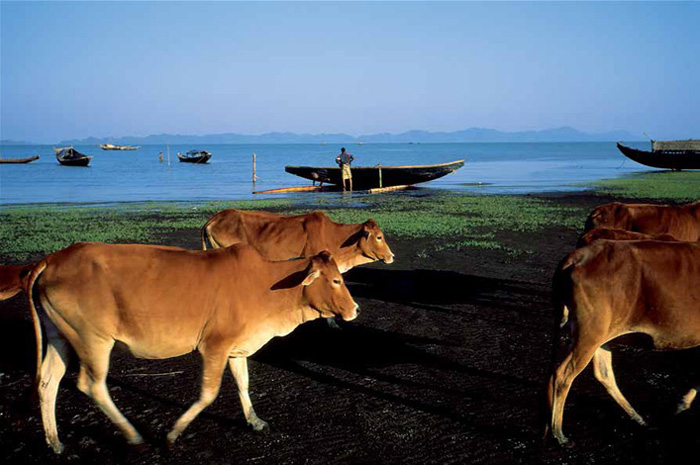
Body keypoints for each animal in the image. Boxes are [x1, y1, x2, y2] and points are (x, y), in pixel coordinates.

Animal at [15, 241, 358, 452]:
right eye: (336, 281)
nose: (355, 310)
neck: (266, 287)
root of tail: (52, 260)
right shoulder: (214, 346)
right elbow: (209, 393)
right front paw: (173, 433)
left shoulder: (235, 348)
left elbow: (243, 383)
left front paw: (254, 420)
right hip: (93, 339)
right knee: (91, 384)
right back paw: (133, 435)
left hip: (61, 336)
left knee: (48, 382)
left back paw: (54, 441)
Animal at [548, 241, 700, 444]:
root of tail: (579, 255)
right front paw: (682, 404)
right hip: (589, 334)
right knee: (563, 375)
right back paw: (558, 433)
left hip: (600, 337)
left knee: (603, 373)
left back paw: (638, 417)